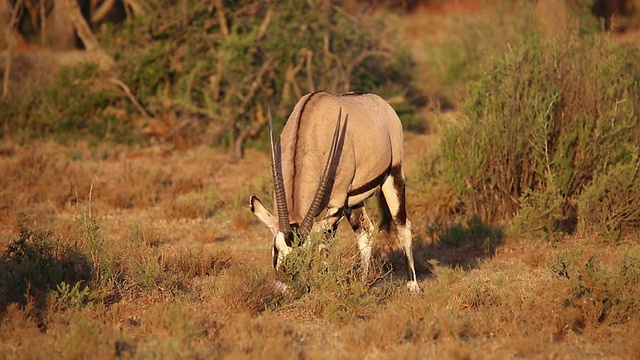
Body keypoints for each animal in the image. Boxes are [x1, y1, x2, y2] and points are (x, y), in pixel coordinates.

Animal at [251, 90, 424, 292]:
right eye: (275, 249)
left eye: (303, 254)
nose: (283, 287)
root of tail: (380, 103)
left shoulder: (336, 204)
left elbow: (325, 246)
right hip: (354, 199)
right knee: (365, 232)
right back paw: (361, 283)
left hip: (393, 176)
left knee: (403, 226)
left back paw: (412, 285)